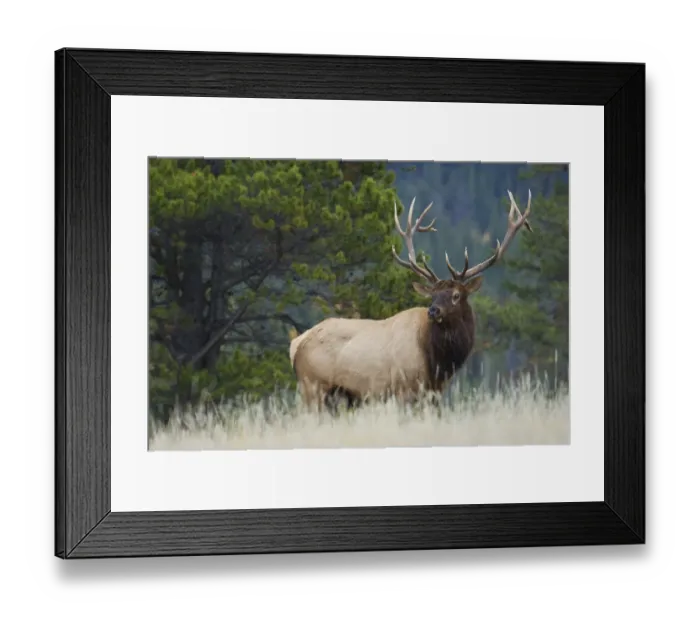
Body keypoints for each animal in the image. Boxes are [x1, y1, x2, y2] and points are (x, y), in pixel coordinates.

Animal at [289, 190, 533, 413]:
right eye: (432, 295)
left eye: (456, 295)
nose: (433, 311)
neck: (438, 362)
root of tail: (296, 344)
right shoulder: (404, 389)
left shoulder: (434, 393)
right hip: (313, 387)